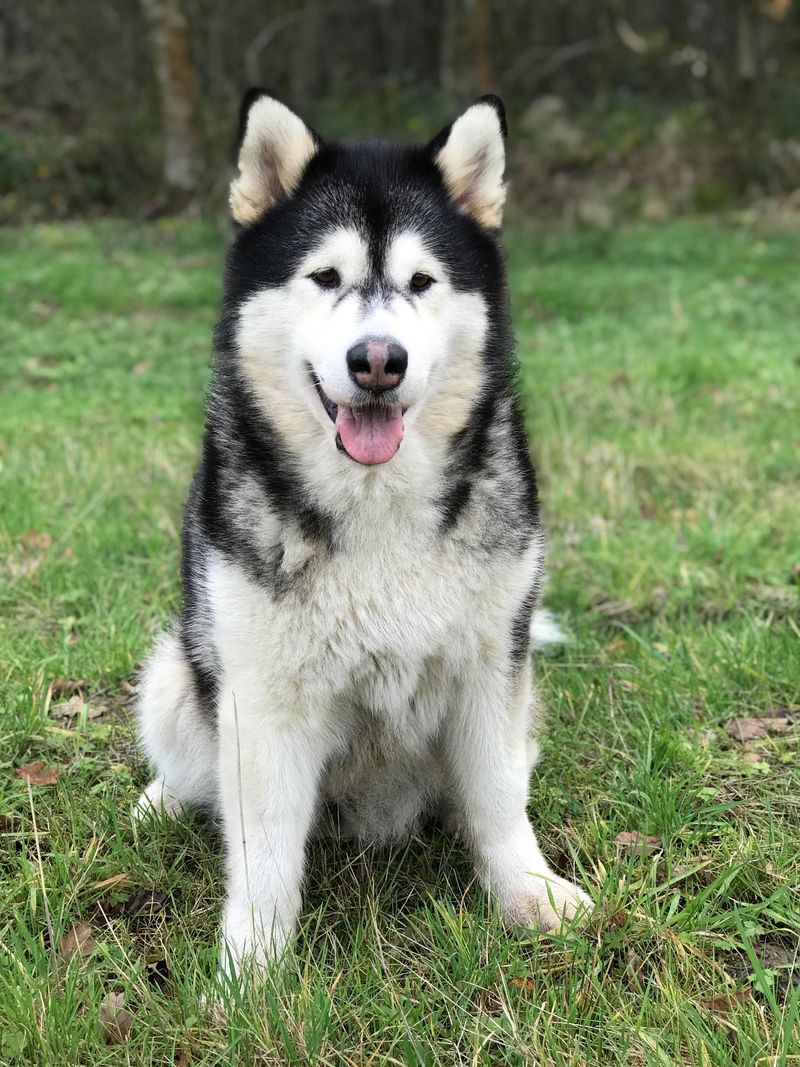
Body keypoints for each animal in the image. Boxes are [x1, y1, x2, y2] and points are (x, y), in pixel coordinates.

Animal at [134, 87, 593, 977]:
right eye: (325, 277)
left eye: (421, 281)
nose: (377, 358)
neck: (378, 504)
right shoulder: (265, 698)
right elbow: (264, 847)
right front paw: (252, 973)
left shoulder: (493, 666)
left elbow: (497, 796)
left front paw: (528, 892)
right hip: (179, 669)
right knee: (197, 767)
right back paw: (160, 798)